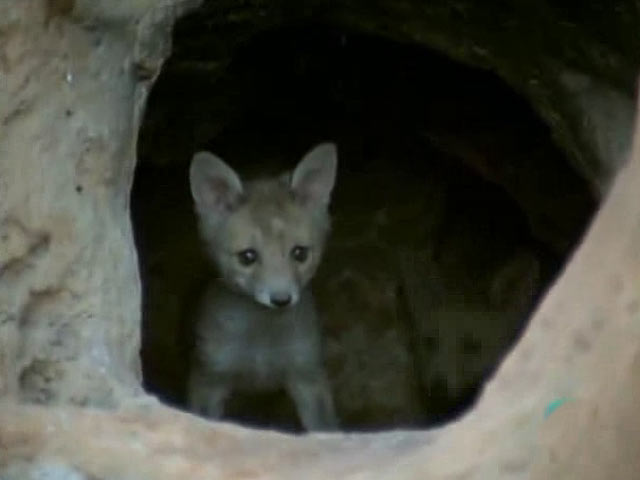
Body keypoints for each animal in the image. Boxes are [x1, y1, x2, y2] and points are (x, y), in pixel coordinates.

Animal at [186, 142, 339, 431]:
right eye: (247, 257)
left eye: (300, 253)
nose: (281, 299)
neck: (261, 347)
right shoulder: (209, 377)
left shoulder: (307, 372)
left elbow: (325, 429)